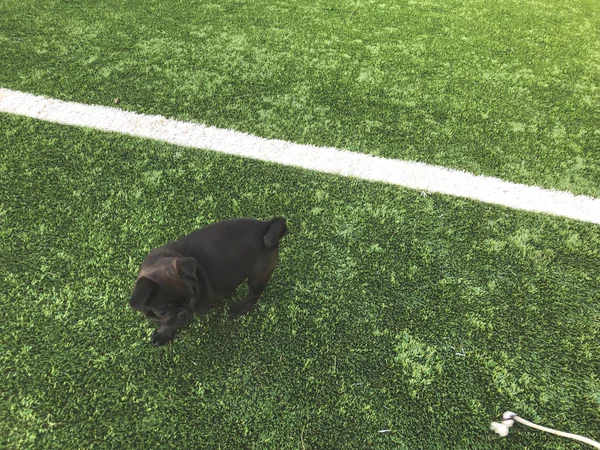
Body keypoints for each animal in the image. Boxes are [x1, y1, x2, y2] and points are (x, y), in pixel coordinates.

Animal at [128, 217, 286, 344]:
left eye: (190, 299)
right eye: (163, 311)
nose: (183, 313)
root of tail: (265, 225)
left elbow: (171, 323)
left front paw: (165, 333)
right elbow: (167, 321)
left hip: (259, 275)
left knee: (254, 294)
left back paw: (240, 307)